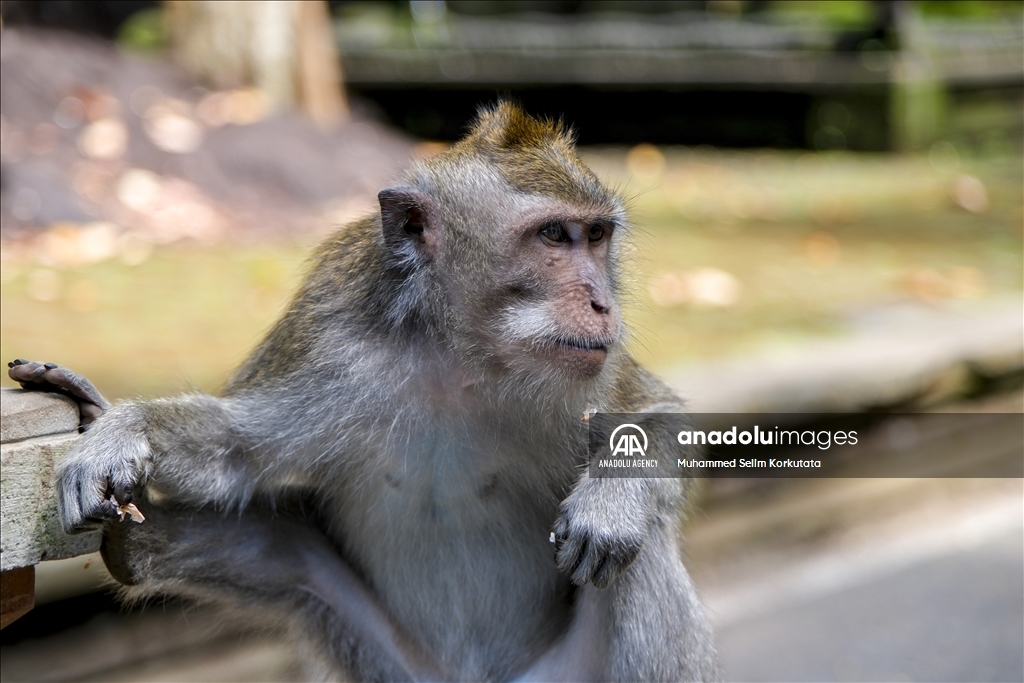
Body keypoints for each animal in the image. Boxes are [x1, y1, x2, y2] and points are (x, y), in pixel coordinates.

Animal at [24, 102, 716, 683]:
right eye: (553, 236)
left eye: (597, 237)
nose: (602, 303)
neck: (456, 356)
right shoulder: (329, 346)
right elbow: (234, 448)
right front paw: (122, 430)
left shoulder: (595, 370)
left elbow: (661, 418)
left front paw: (613, 501)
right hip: (378, 661)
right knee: (292, 553)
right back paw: (134, 547)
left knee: (638, 553)